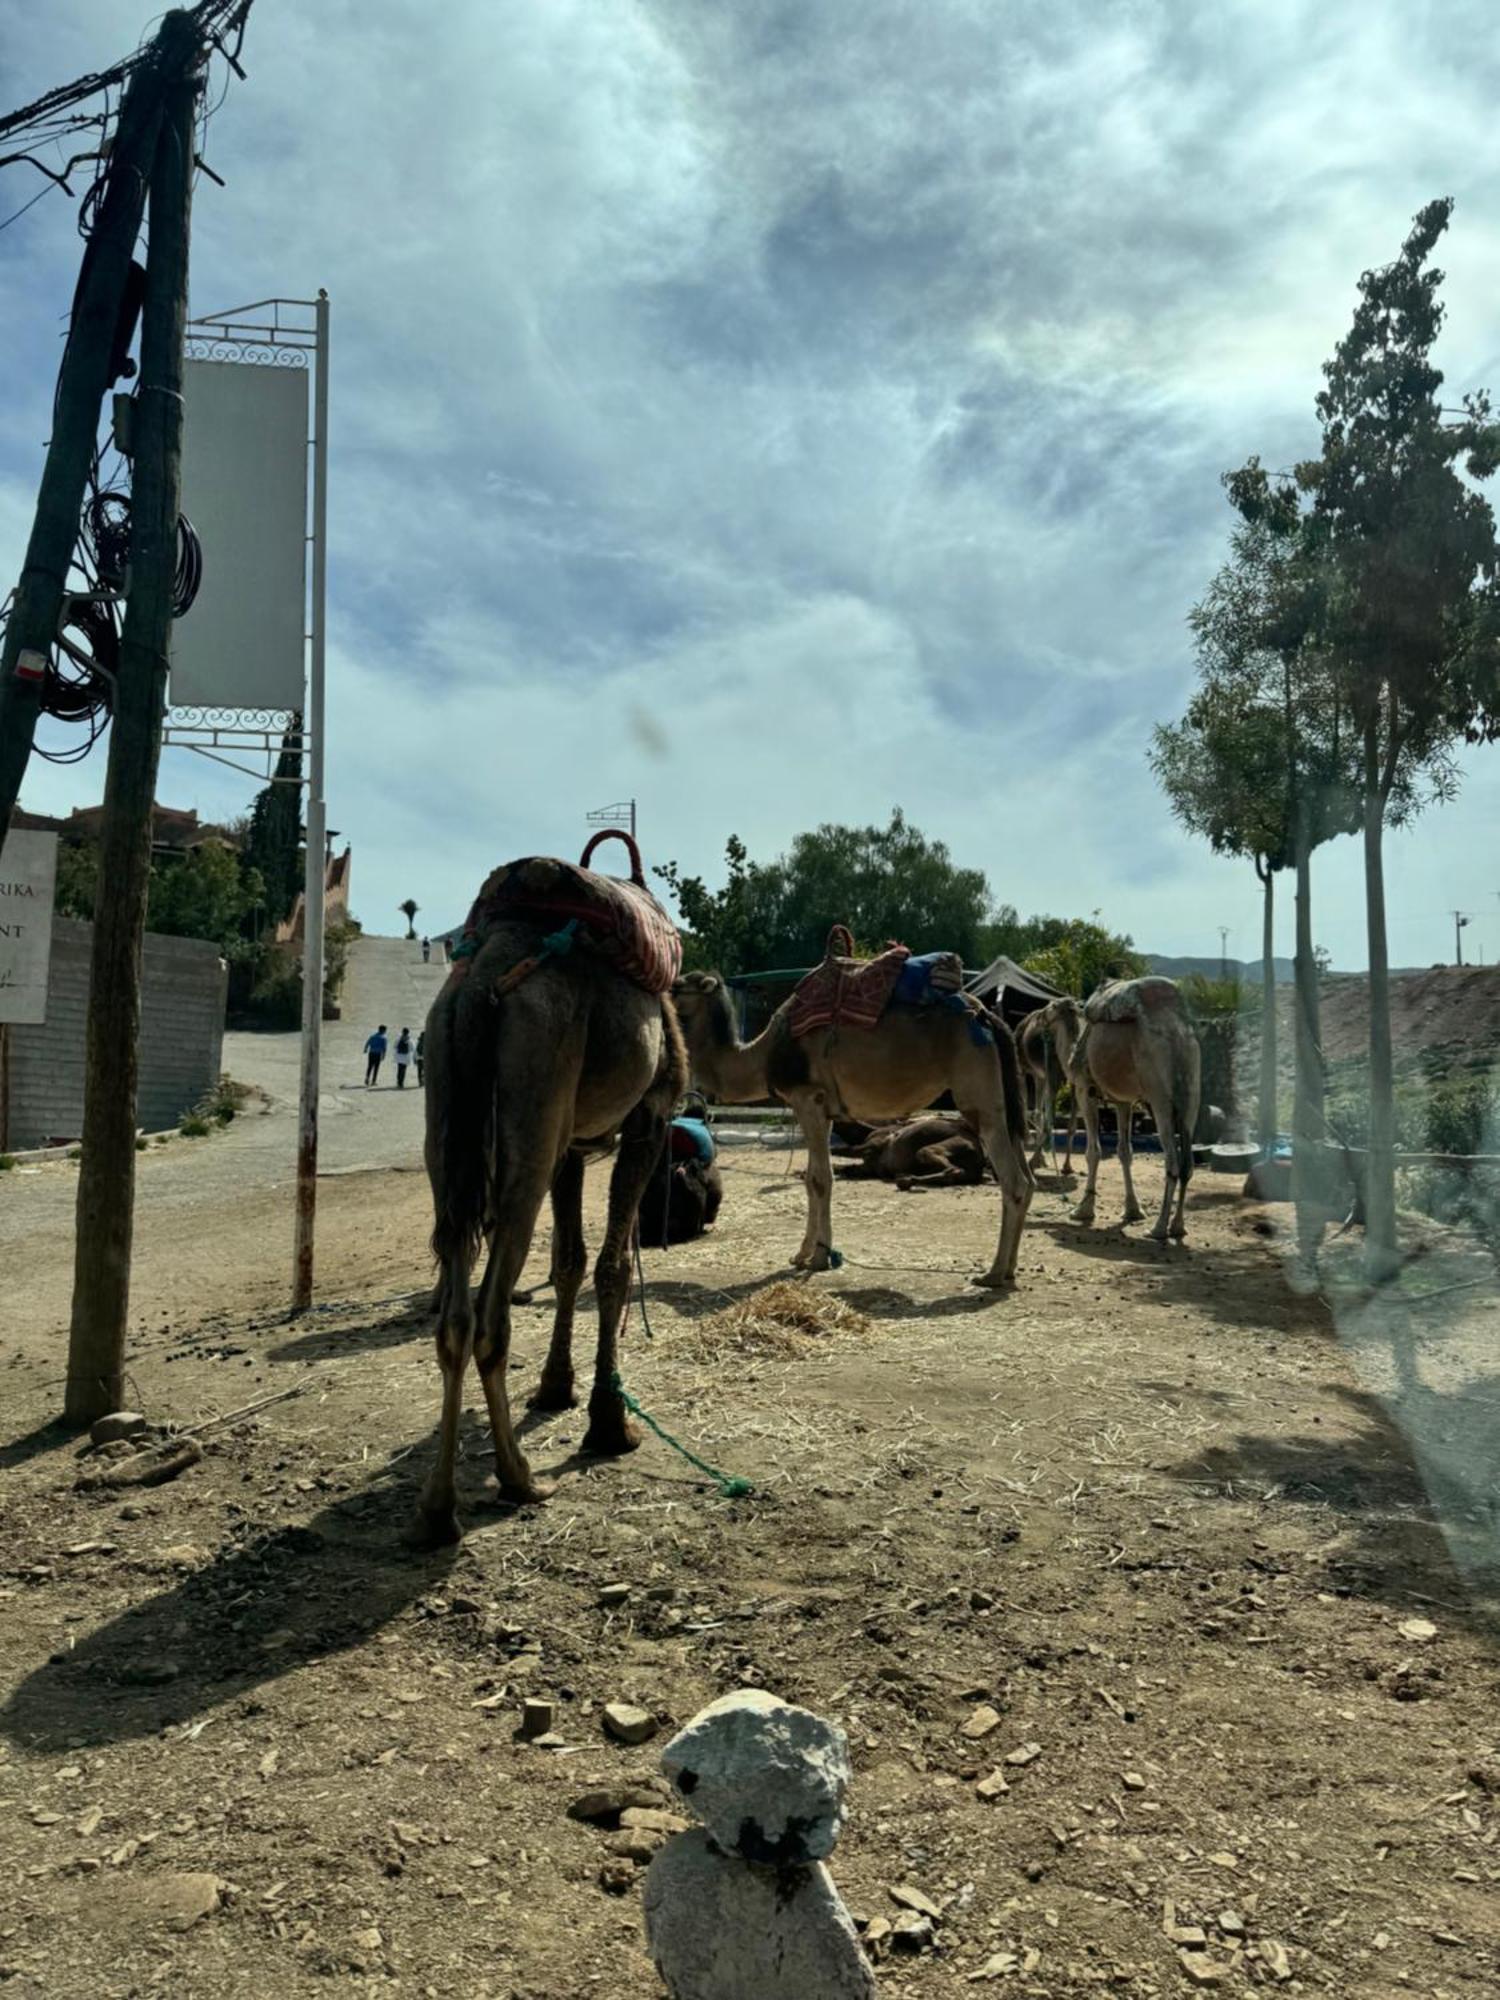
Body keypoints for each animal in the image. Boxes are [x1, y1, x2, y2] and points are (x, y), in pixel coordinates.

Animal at [840, 1112, 992, 1184]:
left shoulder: (875, 1144)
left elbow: (848, 1150)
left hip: (929, 1150)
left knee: (952, 1170)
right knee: (951, 1174)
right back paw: (907, 1179)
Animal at [1048, 976, 1208, 1240]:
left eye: (1051, 1006)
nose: (1039, 1015)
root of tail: (1176, 1030)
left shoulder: (1084, 1089)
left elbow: (1093, 1152)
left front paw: (1083, 1210)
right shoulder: (1123, 1101)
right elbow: (1125, 1152)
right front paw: (1133, 1210)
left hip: (1159, 1096)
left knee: (1172, 1161)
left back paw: (1158, 1228)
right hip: (1191, 1094)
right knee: (1187, 1163)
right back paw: (1178, 1226)